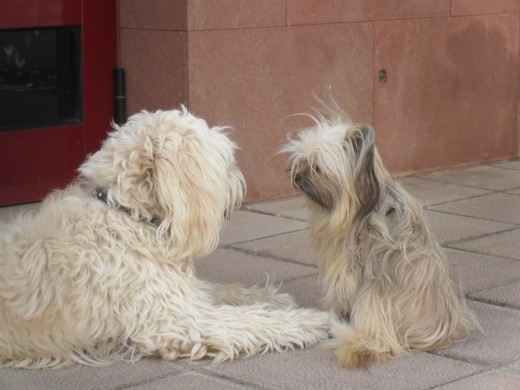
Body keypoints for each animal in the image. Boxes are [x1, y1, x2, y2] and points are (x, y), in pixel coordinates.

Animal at [0, 107, 332, 368]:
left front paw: (269, 298)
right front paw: (308, 320)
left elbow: (225, 292)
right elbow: (249, 320)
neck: (127, 214)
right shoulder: (176, 321)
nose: (241, 184)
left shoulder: (180, 292)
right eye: (224, 163)